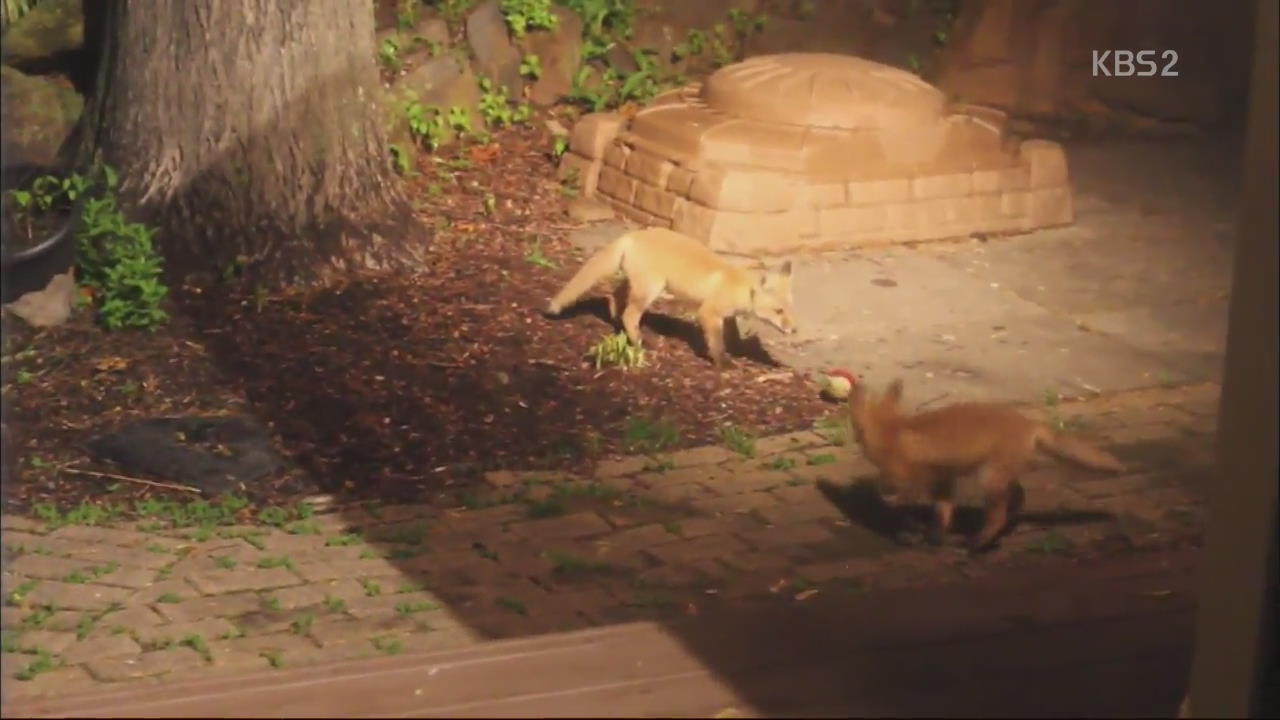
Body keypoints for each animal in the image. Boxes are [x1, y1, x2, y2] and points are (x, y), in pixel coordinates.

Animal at [542, 226, 798, 366]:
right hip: (651, 289)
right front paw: (723, 362)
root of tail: (634, 234)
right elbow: (716, 342)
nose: (794, 330)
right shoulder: (708, 313)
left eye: (791, 310)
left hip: (638, 284)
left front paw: (737, 349)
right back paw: (639, 341)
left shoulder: (725, 315)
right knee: (630, 315)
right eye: (779, 311)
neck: (739, 286)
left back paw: (614, 319)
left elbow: (731, 335)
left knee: (614, 296)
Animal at [844, 379, 1126, 550]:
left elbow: (906, 507)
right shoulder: (943, 478)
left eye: (856, 426)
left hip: (988, 479)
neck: (892, 430)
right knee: (1016, 499)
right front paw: (934, 535)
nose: (855, 439)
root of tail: (1029, 423)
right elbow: (943, 511)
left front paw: (910, 531)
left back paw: (978, 542)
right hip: (999, 475)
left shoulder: (910, 477)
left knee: (999, 513)